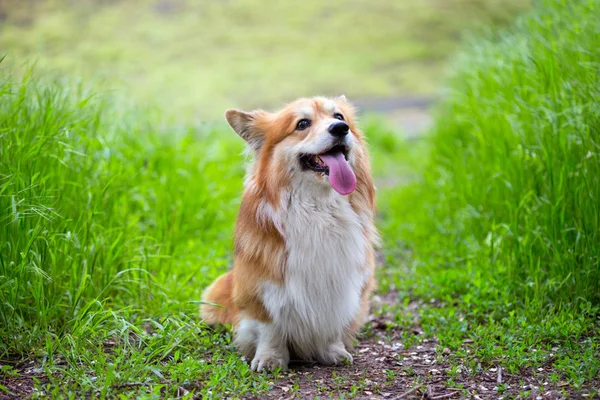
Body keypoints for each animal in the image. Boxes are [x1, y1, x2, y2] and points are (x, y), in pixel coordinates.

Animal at [202, 96, 380, 372]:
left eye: (339, 117)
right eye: (302, 124)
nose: (340, 129)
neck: (318, 209)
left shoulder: (339, 285)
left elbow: (331, 323)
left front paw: (333, 351)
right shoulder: (262, 287)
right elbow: (270, 328)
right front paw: (270, 358)